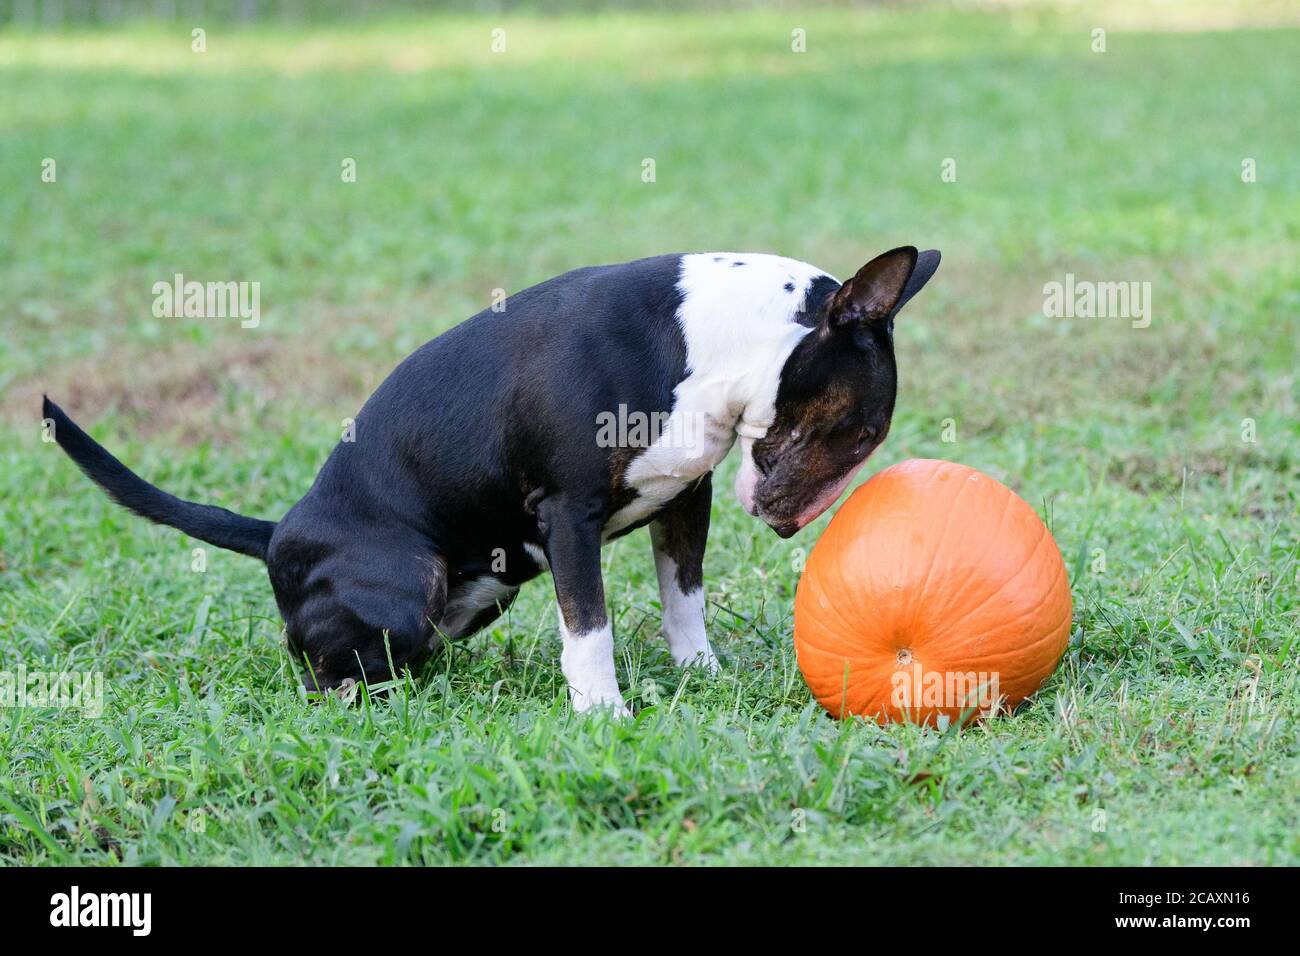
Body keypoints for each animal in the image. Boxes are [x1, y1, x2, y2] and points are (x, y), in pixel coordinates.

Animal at [45, 247, 941, 712]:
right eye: (862, 432)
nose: (790, 525)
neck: (711, 343)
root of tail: (278, 534)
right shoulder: (568, 514)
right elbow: (591, 627)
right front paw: (604, 713)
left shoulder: (688, 499)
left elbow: (683, 598)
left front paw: (700, 674)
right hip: (408, 581)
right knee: (320, 667)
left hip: (486, 589)